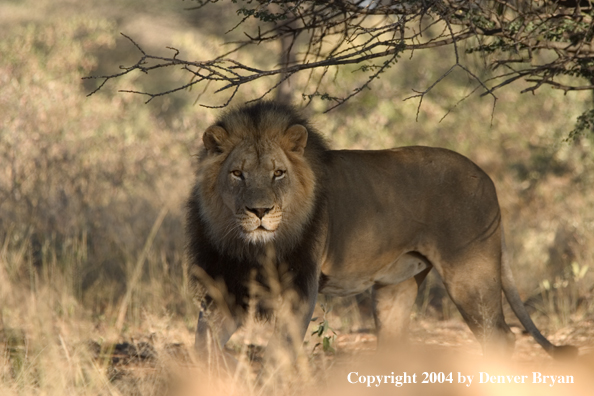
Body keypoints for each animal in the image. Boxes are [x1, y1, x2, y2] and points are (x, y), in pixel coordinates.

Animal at [186, 100, 572, 360]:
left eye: (278, 173)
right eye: (237, 174)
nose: (260, 211)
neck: (250, 246)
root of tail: (487, 178)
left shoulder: (299, 289)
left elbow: (280, 354)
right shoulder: (222, 286)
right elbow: (203, 346)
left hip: (470, 275)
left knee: (500, 336)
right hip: (396, 286)